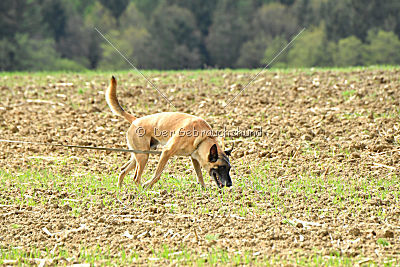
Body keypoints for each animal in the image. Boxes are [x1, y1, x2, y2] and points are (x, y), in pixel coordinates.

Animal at [104, 76, 233, 188]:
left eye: (229, 168)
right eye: (221, 167)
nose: (230, 184)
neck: (203, 138)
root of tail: (136, 120)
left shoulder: (194, 158)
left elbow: (199, 175)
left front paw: (204, 189)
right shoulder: (166, 152)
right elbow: (157, 175)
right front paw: (148, 185)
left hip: (138, 155)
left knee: (123, 170)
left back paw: (120, 189)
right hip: (143, 156)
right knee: (136, 178)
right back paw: (140, 190)